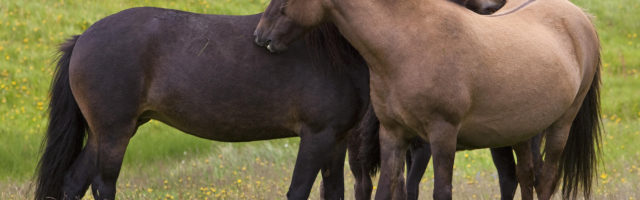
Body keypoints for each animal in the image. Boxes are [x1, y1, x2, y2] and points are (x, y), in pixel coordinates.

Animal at [254, 0, 600, 198]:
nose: (261, 36)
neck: (408, 44)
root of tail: (580, 17)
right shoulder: (393, 134)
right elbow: (386, 189)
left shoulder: (441, 135)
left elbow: (440, 191)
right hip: (521, 131)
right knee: (526, 178)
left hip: (561, 125)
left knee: (545, 180)